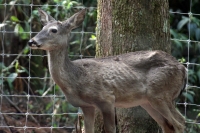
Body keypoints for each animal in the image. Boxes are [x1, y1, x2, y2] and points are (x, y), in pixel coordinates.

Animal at [28, 8, 186, 133]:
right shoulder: (86, 106)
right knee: (168, 125)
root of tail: (183, 68)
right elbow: (88, 130)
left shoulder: (107, 98)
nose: (31, 41)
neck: (76, 78)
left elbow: (110, 129)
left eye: (53, 30)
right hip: (148, 101)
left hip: (160, 92)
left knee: (180, 122)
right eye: (42, 28)